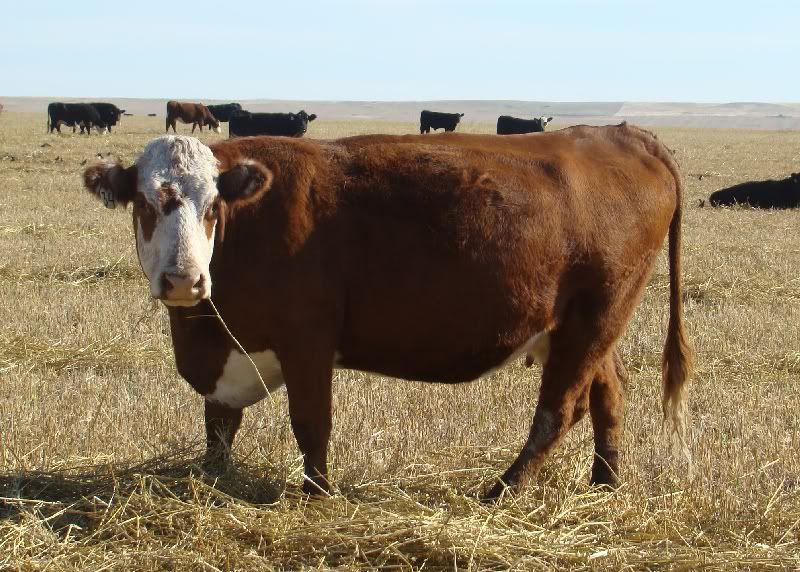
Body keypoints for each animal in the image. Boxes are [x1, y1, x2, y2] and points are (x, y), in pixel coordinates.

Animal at [82, 124, 692, 499]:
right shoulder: (227, 351)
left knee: (558, 411)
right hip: (584, 326)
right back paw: (605, 484)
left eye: (213, 206)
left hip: (597, 316)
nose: (184, 279)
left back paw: (500, 493)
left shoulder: (308, 339)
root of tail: (621, 134)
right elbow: (218, 426)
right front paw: (210, 480)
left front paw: (316, 494)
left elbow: (311, 423)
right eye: (143, 203)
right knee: (608, 393)